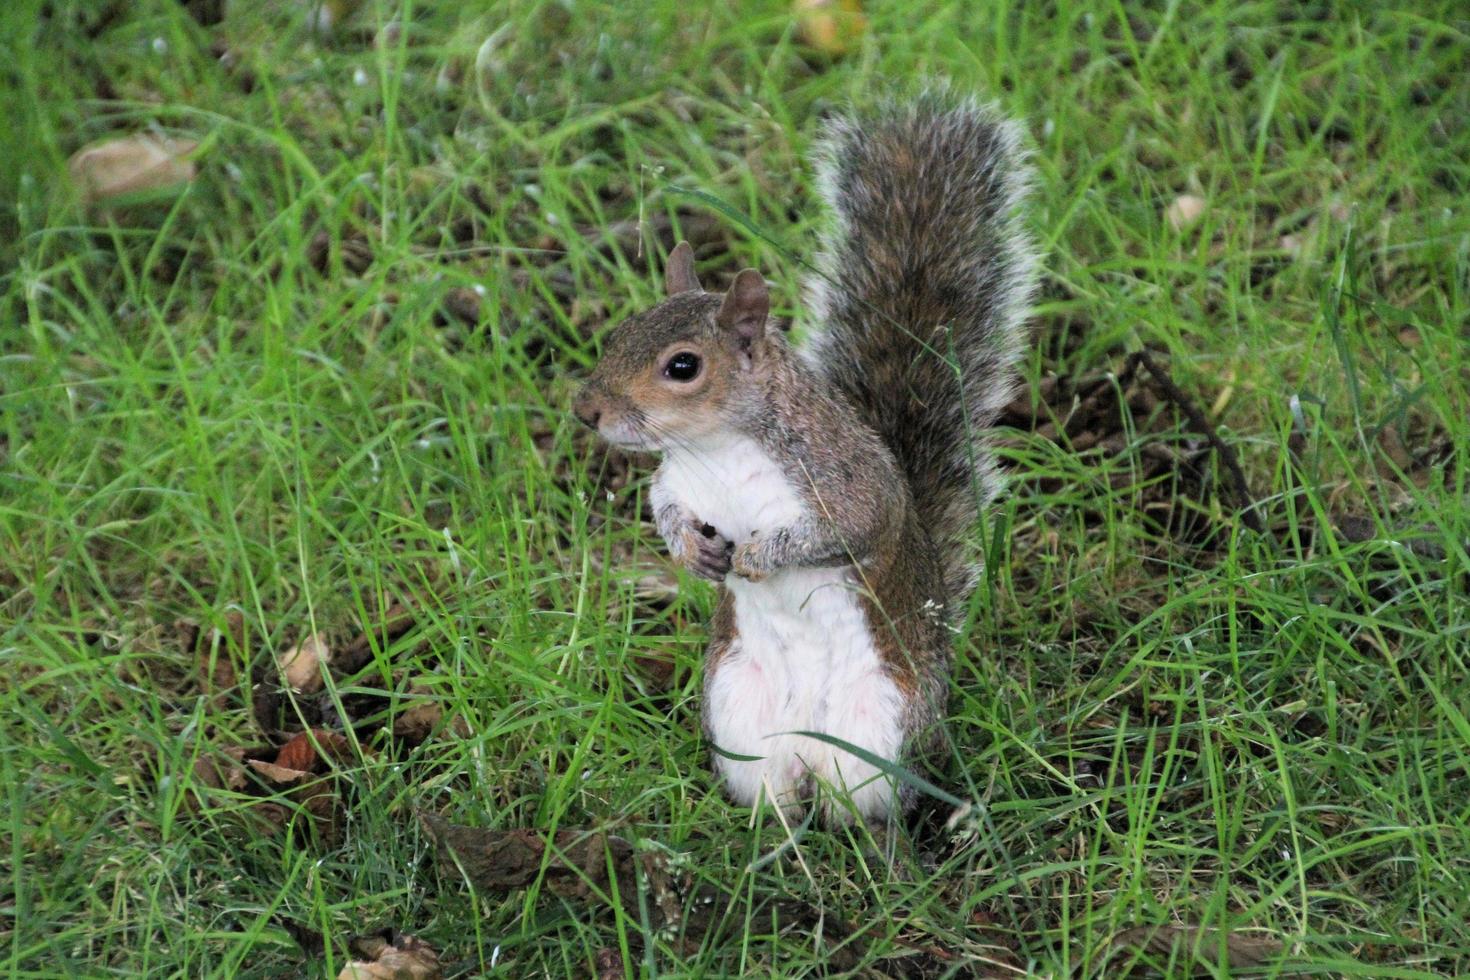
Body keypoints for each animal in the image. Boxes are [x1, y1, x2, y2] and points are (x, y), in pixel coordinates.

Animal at [567, 94, 1040, 828]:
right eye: (618, 333)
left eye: (682, 366)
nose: (586, 410)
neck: (718, 448)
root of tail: (807, 747)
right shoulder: (679, 480)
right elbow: (665, 507)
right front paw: (689, 551)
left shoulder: (842, 479)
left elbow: (849, 528)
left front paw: (762, 554)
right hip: (739, 715)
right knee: (779, 801)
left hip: (882, 725)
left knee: (867, 811)